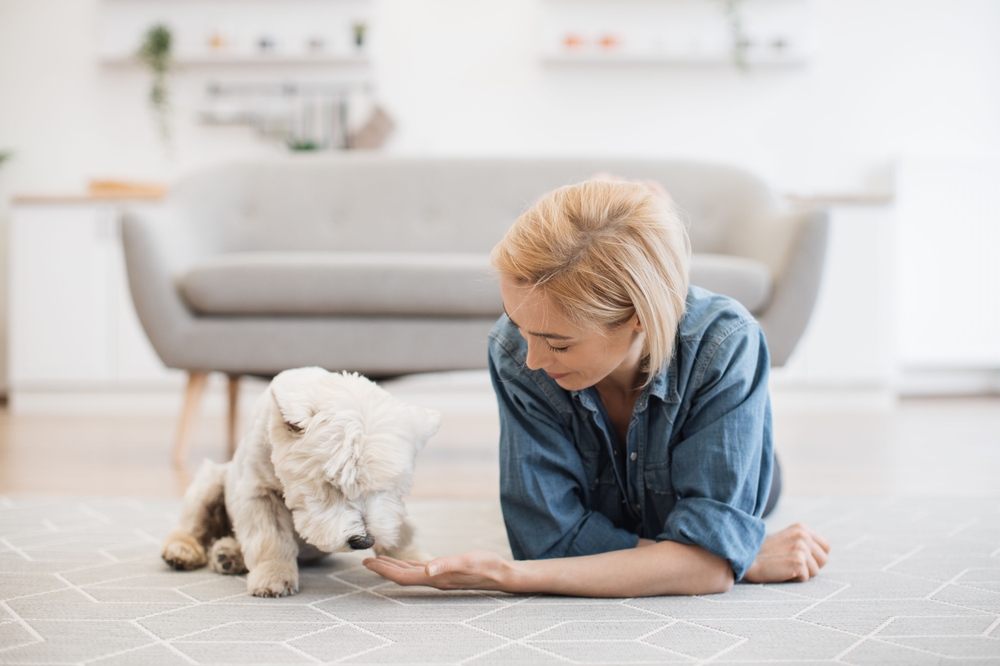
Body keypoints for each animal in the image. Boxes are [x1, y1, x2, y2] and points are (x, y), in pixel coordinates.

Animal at [162, 368, 440, 596]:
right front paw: (273, 577)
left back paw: (228, 554)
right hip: (211, 482)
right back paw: (183, 552)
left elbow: (401, 527)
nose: (364, 541)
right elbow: (271, 537)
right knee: (192, 525)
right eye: (332, 484)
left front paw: (416, 559)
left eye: (388, 487)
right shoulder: (259, 491)